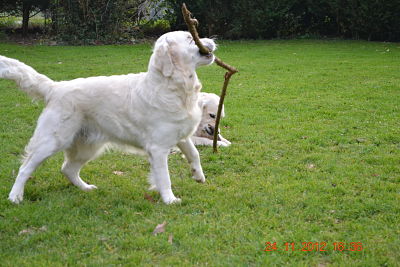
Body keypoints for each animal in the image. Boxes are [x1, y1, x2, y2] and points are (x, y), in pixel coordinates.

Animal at [0, 30, 219, 205]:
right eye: (190, 38)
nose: (213, 40)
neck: (174, 87)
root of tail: (55, 87)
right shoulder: (158, 148)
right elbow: (164, 177)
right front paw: (169, 199)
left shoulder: (181, 135)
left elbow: (194, 154)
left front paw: (198, 175)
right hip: (52, 141)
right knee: (25, 168)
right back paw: (15, 196)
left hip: (87, 146)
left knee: (67, 169)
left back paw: (85, 188)